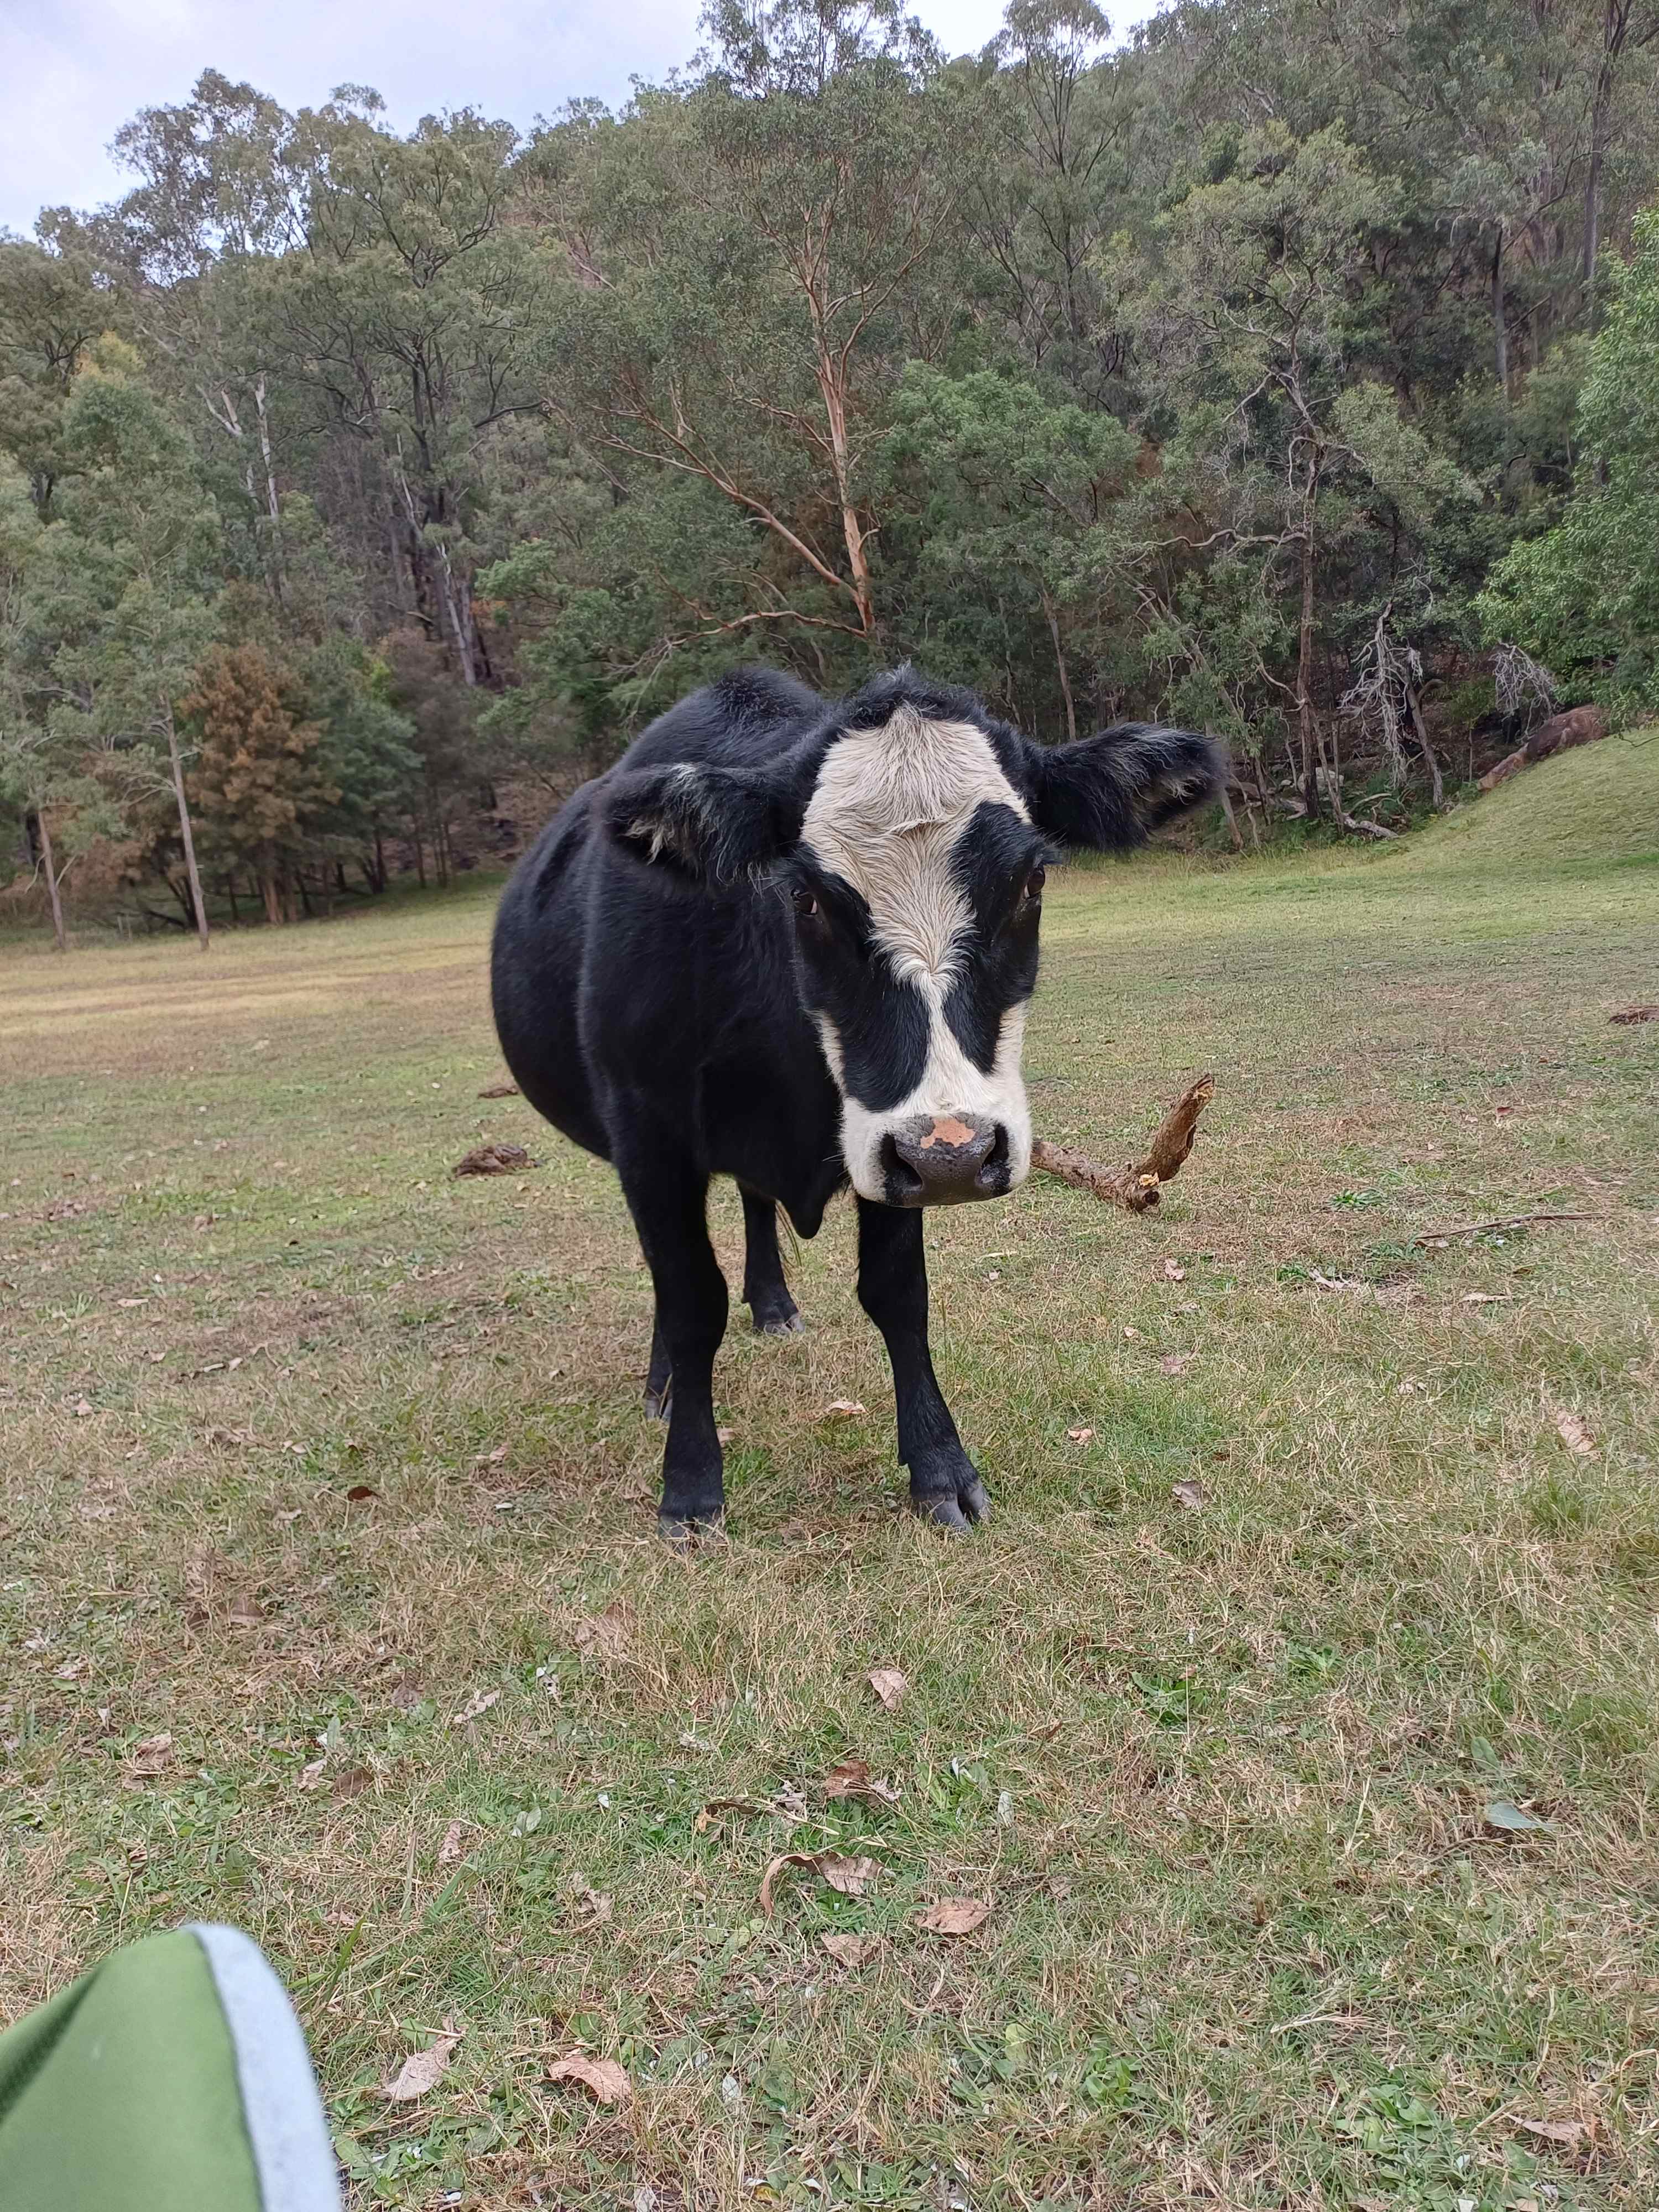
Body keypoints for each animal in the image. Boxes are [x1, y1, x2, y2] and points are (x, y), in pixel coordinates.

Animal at [491, 666, 1222, 1540]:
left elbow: (898, 1295)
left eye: (1032, 880)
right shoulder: (649, 1132)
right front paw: (692, 1488)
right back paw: (664, 1385)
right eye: (806, 897)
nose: (957, 1155)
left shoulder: (891, 1156)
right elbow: (692, 1299)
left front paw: (942, 1469)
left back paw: (773, 1307)